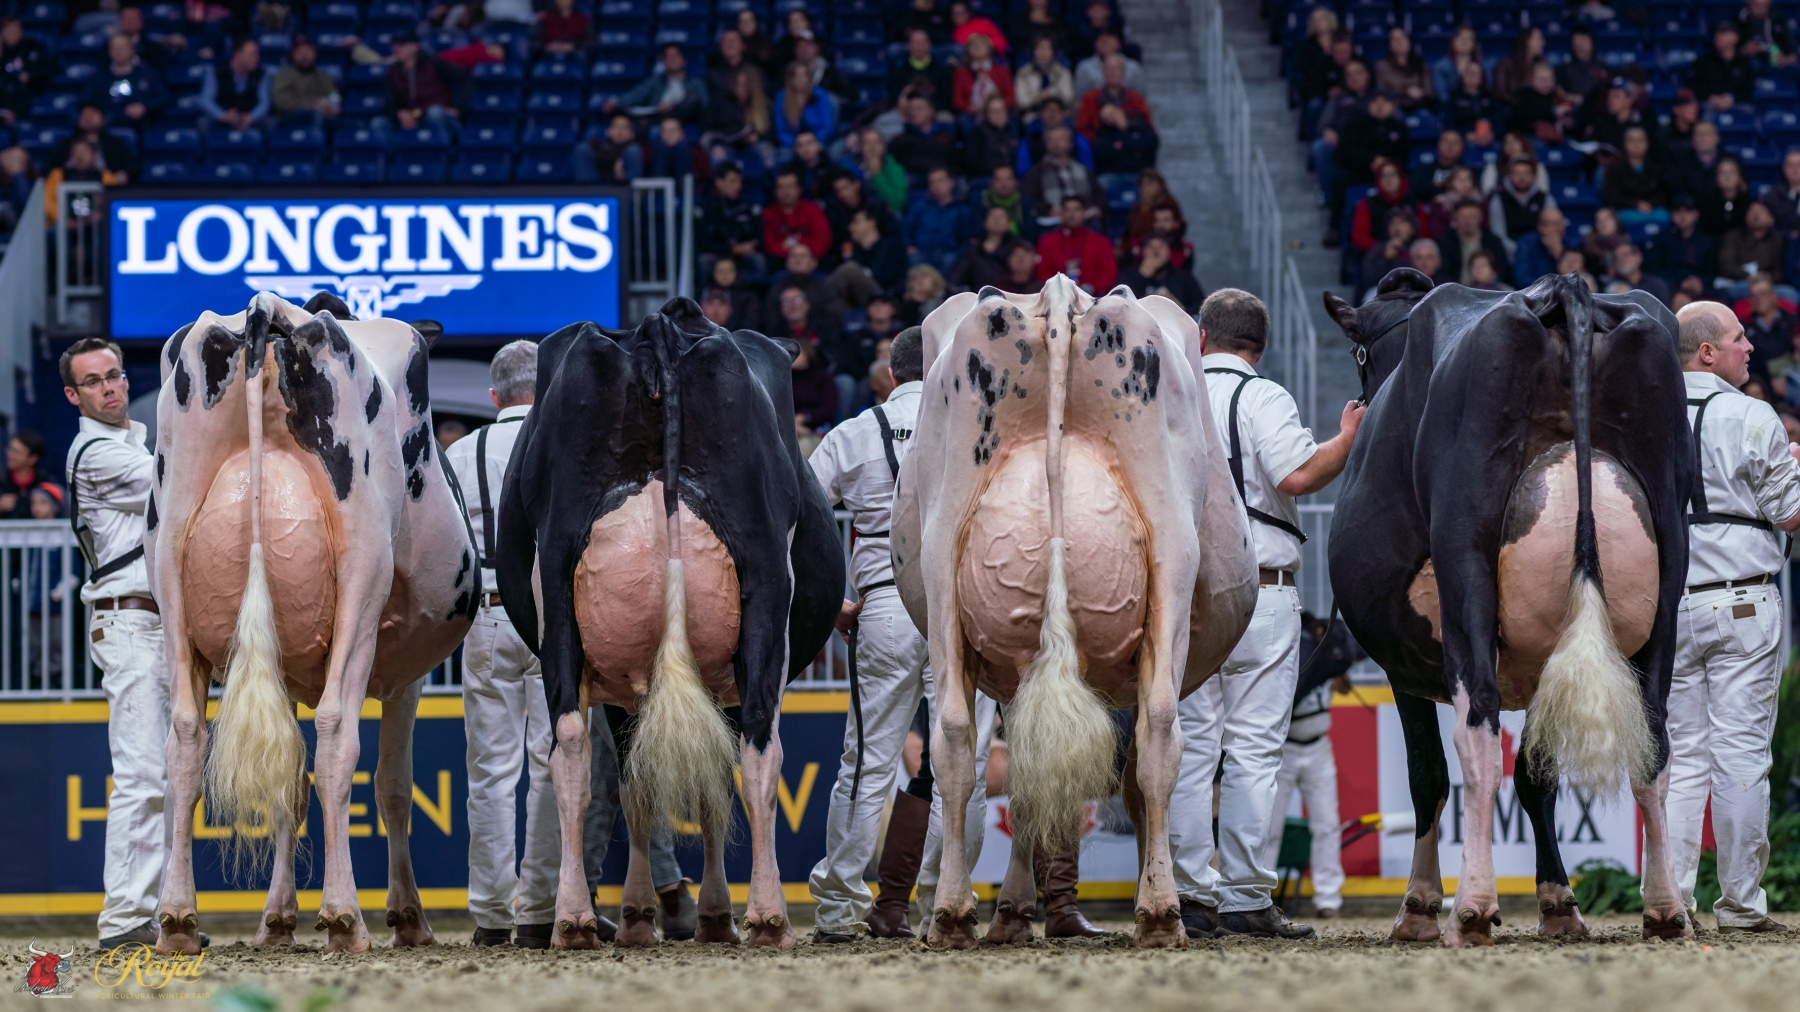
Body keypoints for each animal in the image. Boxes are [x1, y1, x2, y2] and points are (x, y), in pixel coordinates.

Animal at [149, 291, 479, 955]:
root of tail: (271, 312)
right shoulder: (406, 679)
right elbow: (393, 787)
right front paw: (408, 916)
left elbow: (287, 787)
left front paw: (276, 918)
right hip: (362, 581)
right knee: (336, 740)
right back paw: (345, 916)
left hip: (169, 578)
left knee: (186, 738)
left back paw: (177, 919)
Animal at [494, 298, 843, 950]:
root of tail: (659, 328)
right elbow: (710, 785)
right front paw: (709, 914)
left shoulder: (624, 684)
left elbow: (638, 783)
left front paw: (641, 915)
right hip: (764, 581)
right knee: (760, 745)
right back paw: (769, 917)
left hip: (556, 589)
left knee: (571, 745)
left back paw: (573, 919)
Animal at [892, 275, 1258, 949]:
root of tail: (1060, 296)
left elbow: (1025, 781)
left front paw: (1011, 912)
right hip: (1173, 556)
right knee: (1159, 737)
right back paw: (1161, 912)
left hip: (940, 557)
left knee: (955, 739)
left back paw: (953, 915)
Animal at [1322, 269, 1693, 945]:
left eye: (1361, 354)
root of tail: (1564, 290)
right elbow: (1537, 776)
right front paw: (1559, 903)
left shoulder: (1400, 663)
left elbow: (1428, 775)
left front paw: (1418, 906)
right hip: (1669, 572)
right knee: (1652, 739)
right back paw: (1664, 907)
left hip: (1465, 559)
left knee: (1477, 733)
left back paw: (1471, 907)